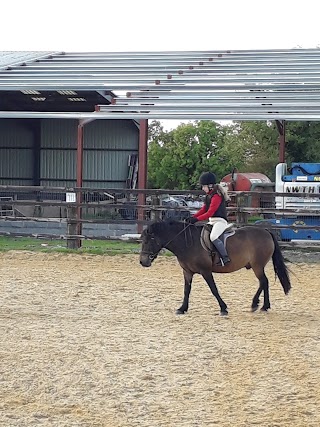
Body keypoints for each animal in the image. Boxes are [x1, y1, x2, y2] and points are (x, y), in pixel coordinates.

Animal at [139, 221, 292, 318]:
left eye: (147, 241)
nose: (142, 262)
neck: (187, 242)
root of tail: (266, 231)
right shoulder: (187, 272)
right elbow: (186, 290)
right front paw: (182, 308)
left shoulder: (206, 271)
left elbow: (214, 289)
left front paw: (223, 308)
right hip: (257, 266)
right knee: (264, 282)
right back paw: (262, 305)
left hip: (257, 266)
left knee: (263, 281)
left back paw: (259, 305)